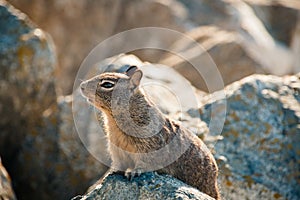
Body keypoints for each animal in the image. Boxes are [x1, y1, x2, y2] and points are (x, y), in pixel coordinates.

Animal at [79, 66, 220, 200]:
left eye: (107, 84)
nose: (81, 86)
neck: (114, 120)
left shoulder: (147, 148)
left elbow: (144, 163)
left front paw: (134, 172)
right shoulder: (116, 150)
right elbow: (119, 164)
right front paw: (110, 174)